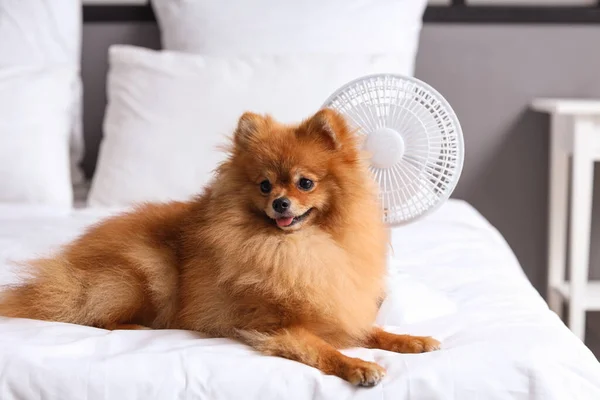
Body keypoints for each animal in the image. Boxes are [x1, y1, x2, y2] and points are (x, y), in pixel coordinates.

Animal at [0, 108, 440, 386]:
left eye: (305, 183)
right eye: (264, 185)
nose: (280, 203)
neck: (300, 248)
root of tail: (69, 261)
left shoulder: (338, 303)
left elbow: (373, 330)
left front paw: (411, 341)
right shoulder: (273, 325)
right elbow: (321, 349)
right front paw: (357, 366)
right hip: (144, 273)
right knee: (93, 315)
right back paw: (136, 326)